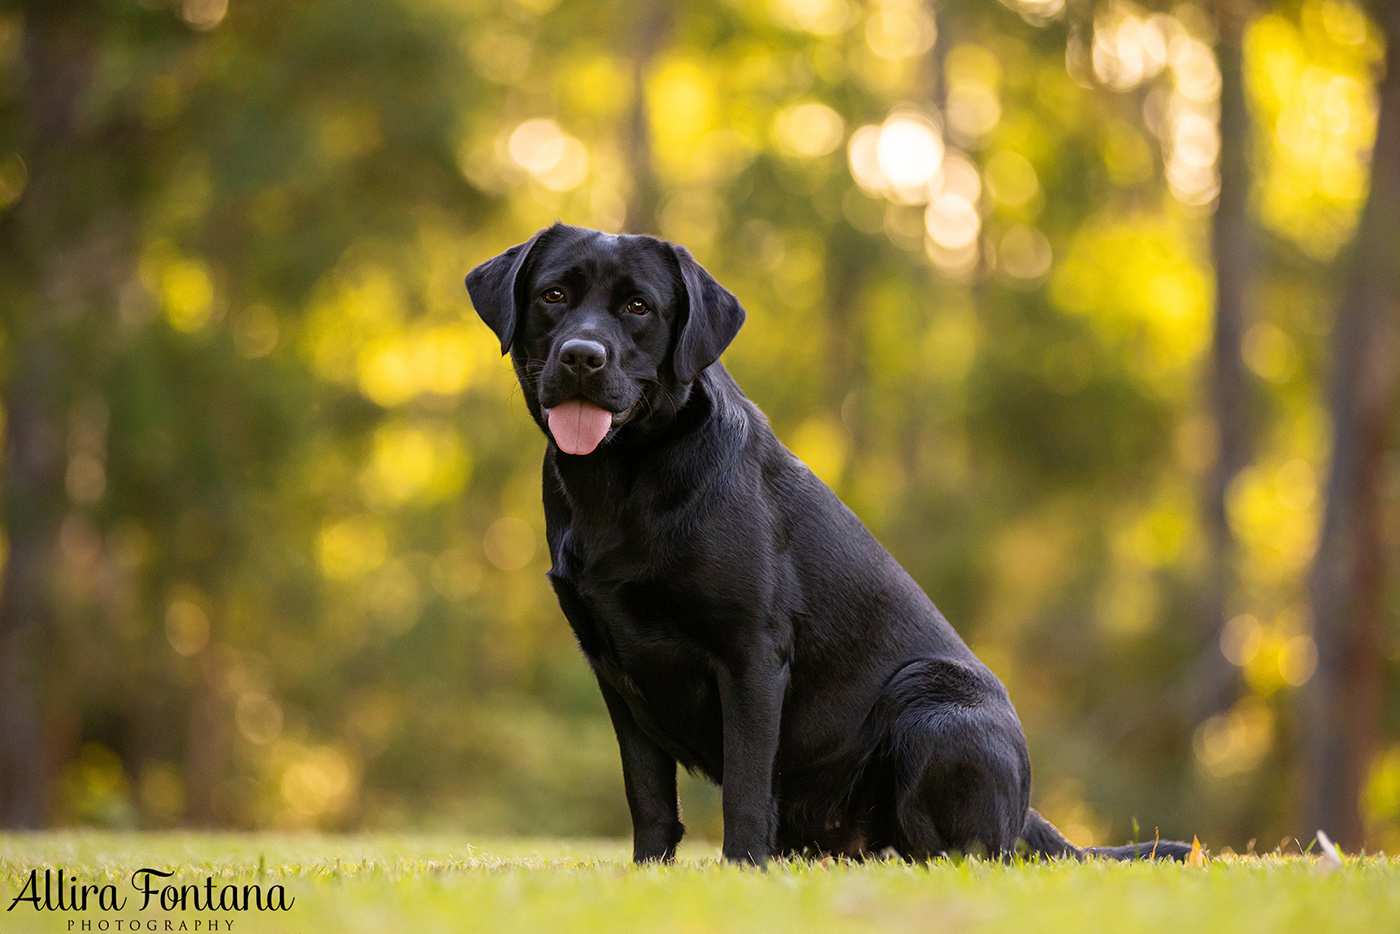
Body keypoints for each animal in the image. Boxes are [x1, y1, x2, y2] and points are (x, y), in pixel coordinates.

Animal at [464, 222, 1187, 868]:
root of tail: (1030, 810)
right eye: (554, 295)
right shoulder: (614, 668)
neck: (621, 482)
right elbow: (648, 798)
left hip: (931, 701)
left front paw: (743, 870)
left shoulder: (750, 652)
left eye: (638, 307)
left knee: (971, 853)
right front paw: (648, 873)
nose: (582, 356)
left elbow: (747, 785)